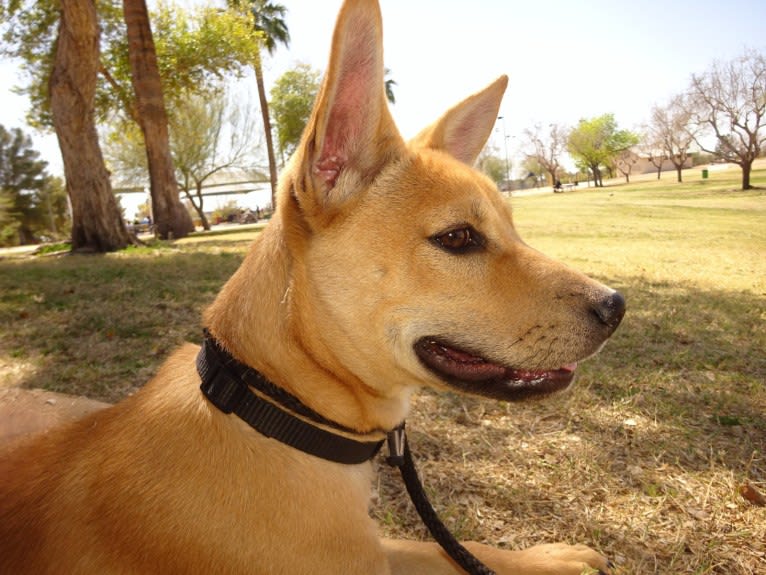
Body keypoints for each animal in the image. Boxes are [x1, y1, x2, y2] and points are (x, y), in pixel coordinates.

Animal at [0, 0, 624, 572]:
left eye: (513, 228)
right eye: (458, 237)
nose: (616, 306)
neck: (271, 407)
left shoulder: (378, 550)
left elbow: (447, 547)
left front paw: (546, 557)